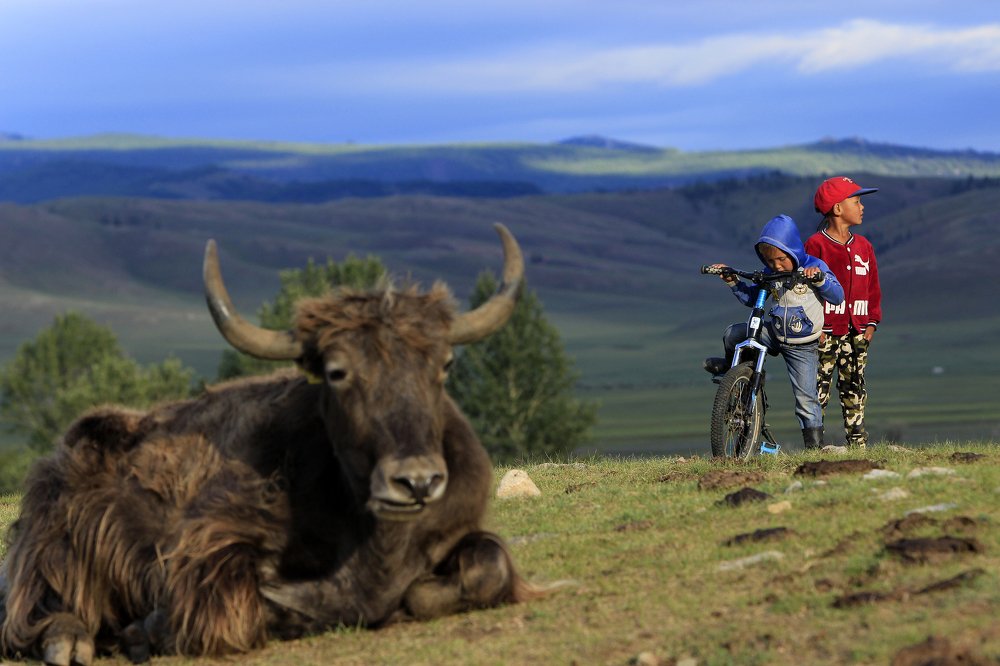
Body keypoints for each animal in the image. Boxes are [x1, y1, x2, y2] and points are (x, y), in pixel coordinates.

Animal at [0, 224, 539, 665]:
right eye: (337, 372)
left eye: (444, 365)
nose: (417, 481)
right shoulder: (210, 543)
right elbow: (251, 607)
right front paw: (147, 630)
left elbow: (488, 565)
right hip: (51, 541)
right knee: (29, 606)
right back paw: (67, 641)